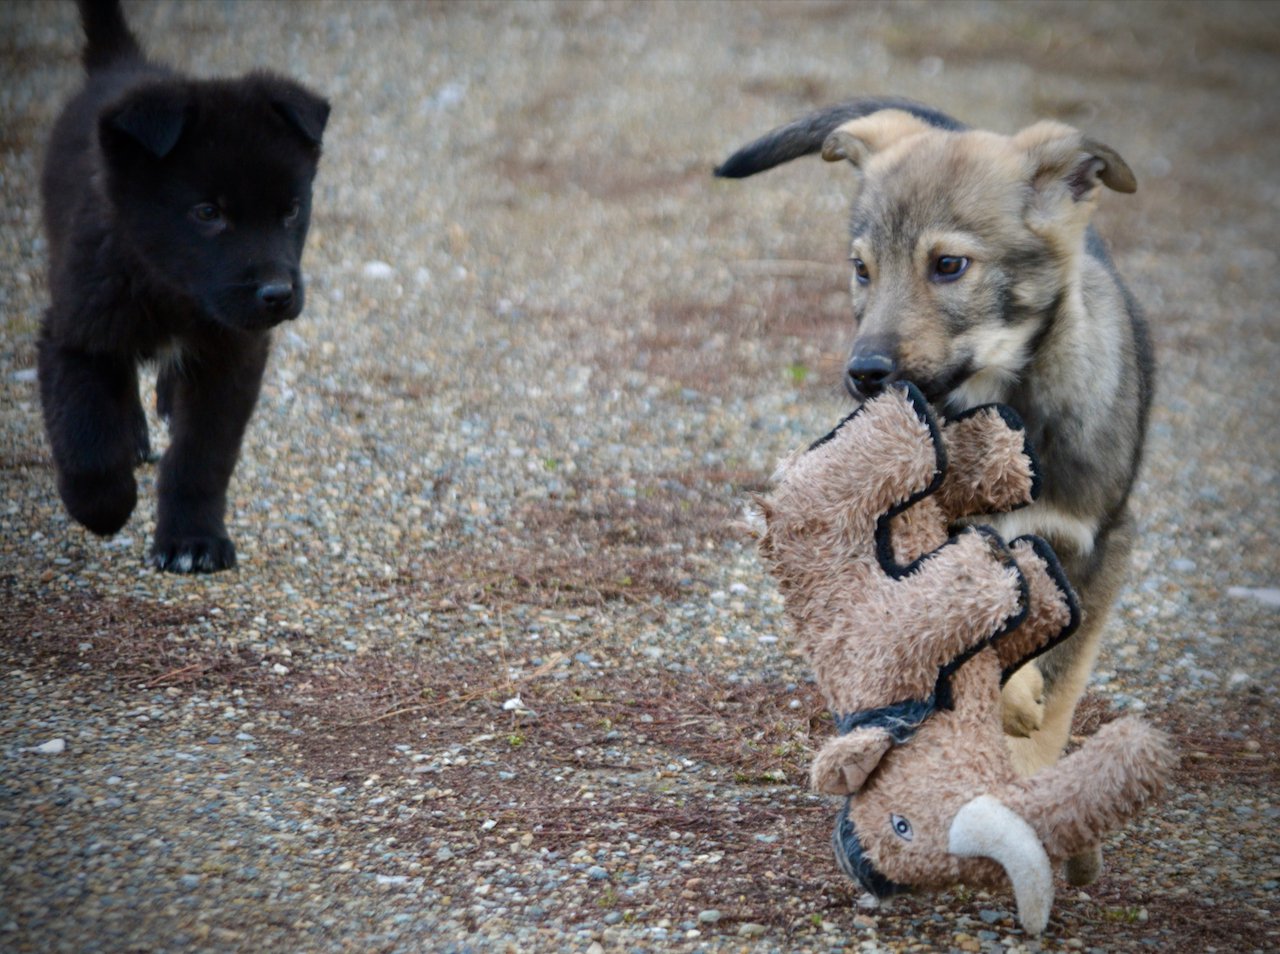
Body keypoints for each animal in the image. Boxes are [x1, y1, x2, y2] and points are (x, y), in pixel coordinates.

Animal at [40, 0, 330, 573]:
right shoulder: (73, 331)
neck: (170, 291)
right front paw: (104, 506)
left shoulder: (233, 355)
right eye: (207, 213)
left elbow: (202, 456)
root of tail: (122, 65)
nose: (278, 295)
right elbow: (84, 435)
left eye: (290, 210)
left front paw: (193, 540)